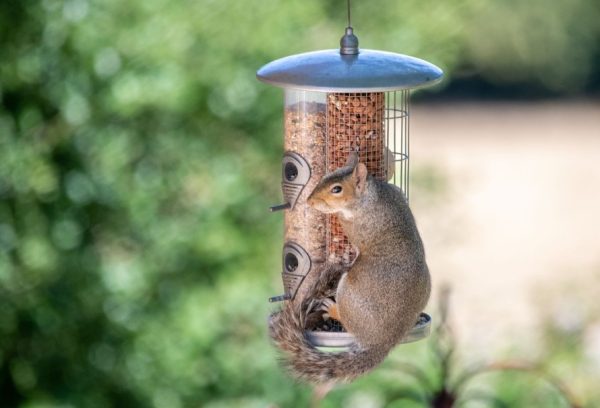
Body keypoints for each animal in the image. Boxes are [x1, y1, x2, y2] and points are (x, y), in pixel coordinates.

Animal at [268, 151, 432, 384]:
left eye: (337, 189)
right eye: (325, 176)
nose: (310, 201)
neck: (371, 196)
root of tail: (384, 340)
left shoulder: (359, 225)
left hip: (348, 290)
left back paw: (333, 309)